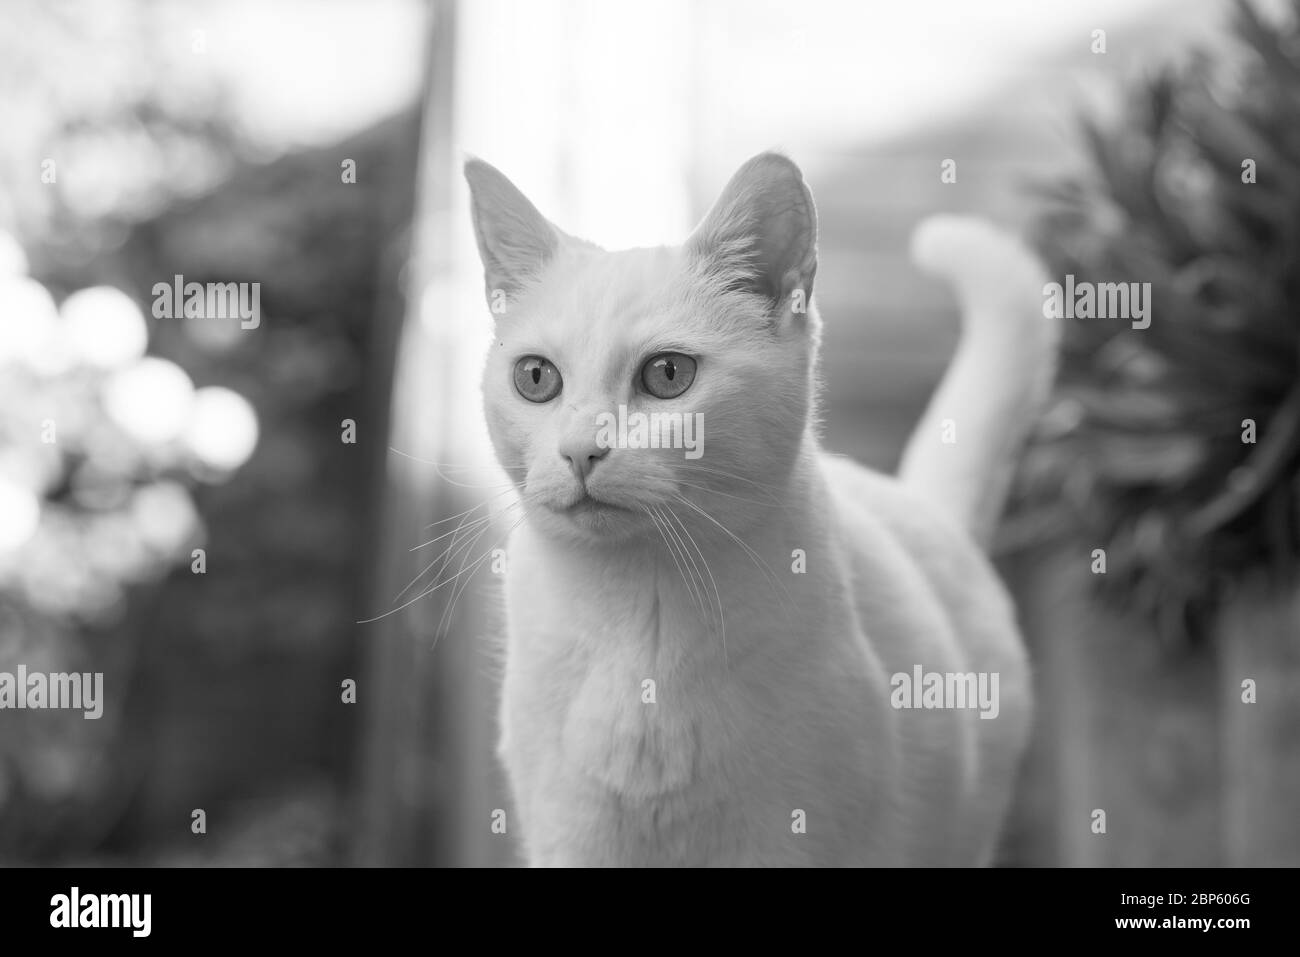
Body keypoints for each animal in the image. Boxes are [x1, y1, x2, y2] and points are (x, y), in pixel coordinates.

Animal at [467, 149, 1055, 868]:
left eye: (668, 374)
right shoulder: (572, 839)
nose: (580, 450)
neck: (639, 621)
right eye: (535, 378)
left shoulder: (788, 837)